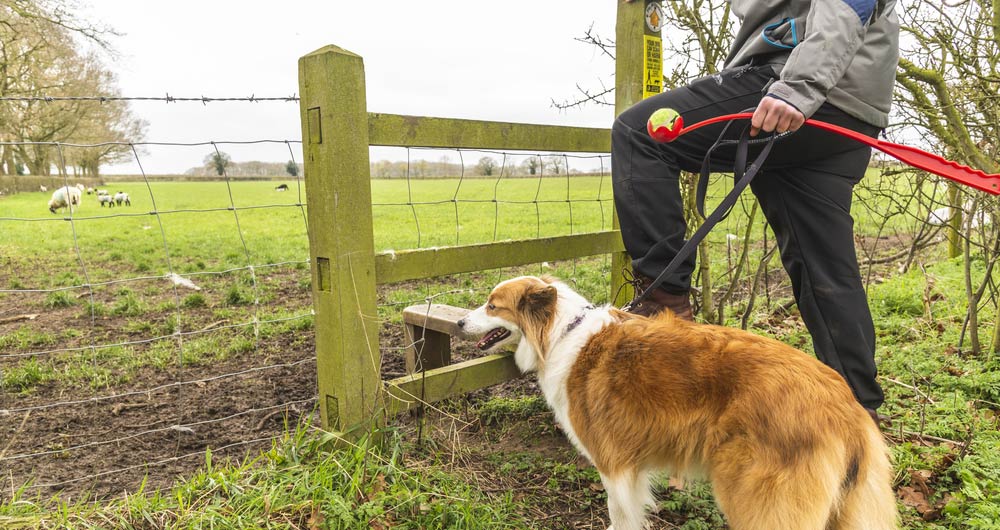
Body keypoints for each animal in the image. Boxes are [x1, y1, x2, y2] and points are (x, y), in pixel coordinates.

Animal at [458, 274, 896, 524]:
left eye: (492, 304)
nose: (460, 322)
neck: (561, 332)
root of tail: (842, 404)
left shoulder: (614, 466)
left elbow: (621, 517)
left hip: (757, 500)